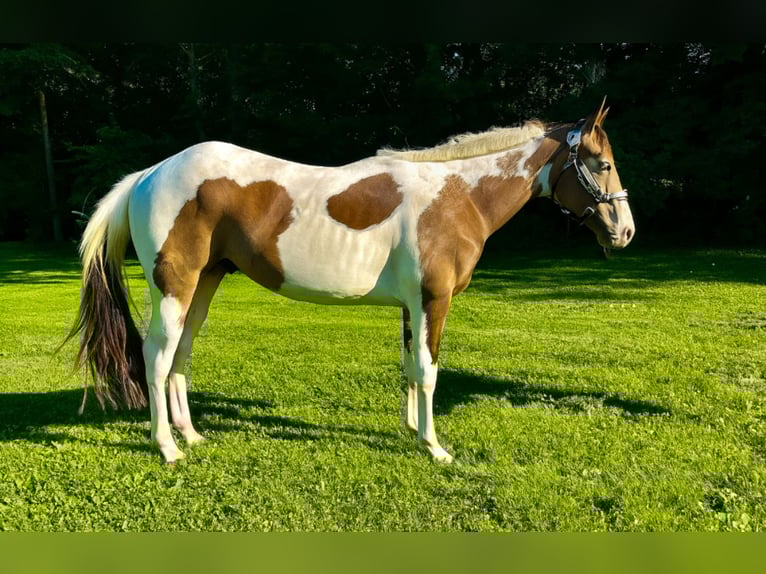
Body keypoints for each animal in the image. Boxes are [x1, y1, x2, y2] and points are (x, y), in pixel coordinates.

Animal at [65, 100, 634, 464]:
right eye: (602, 163)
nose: (625, 231)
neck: (457, 194)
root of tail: (148, 174)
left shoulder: (411, 304)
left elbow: (410, 368)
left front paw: (412, 432)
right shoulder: (434, 300)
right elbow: (429, 371)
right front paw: (436, 448)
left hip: (203, 284)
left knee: (180, 353)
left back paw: (191, 436)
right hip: (175, 286)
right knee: (156, 356)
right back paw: (166, 447)